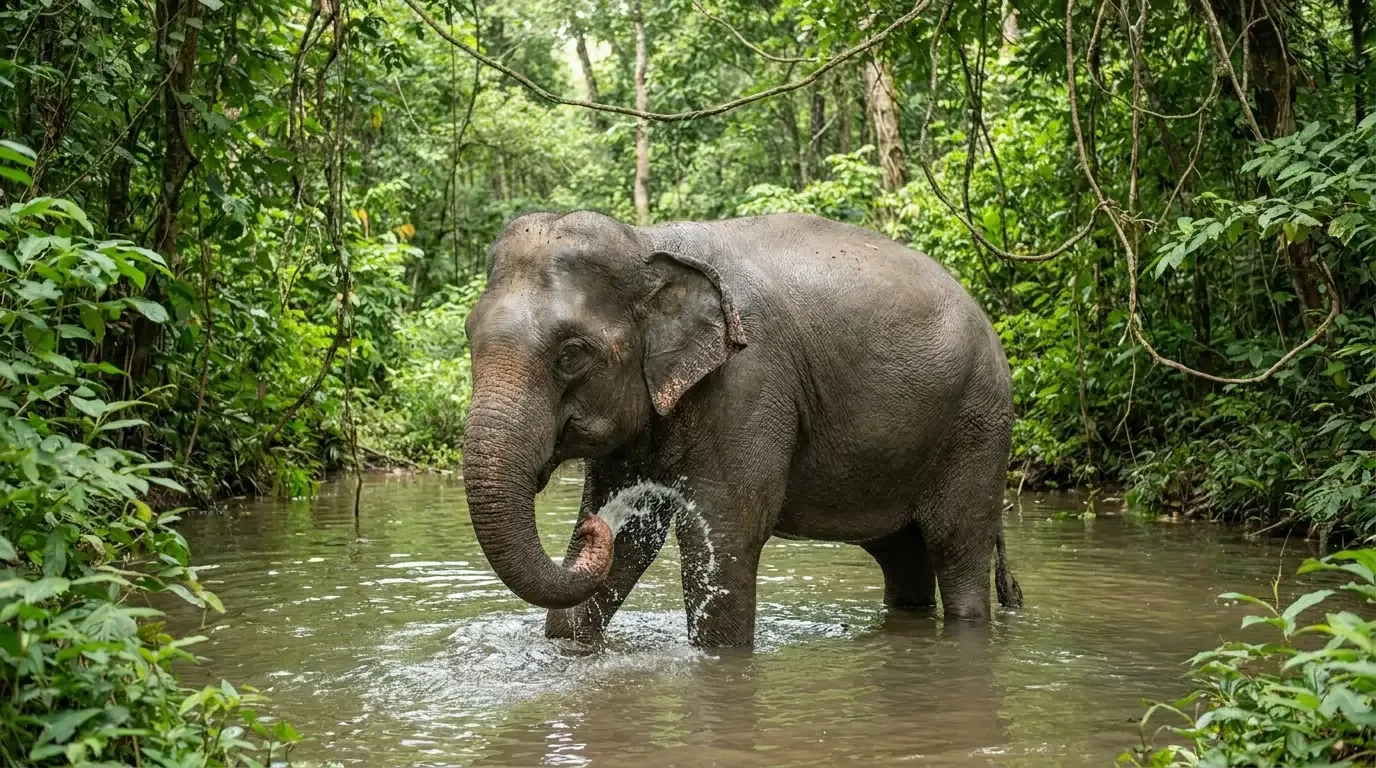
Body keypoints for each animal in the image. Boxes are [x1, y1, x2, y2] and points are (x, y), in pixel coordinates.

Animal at [461, 210, 1022, 648]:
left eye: (572, 353)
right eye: (469, 336)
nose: (587, 529)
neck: (646, 241)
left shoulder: (750, 381)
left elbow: (725, 534)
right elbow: (633, 541)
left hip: (978, 424)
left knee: (957, 549)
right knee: (904, 557)